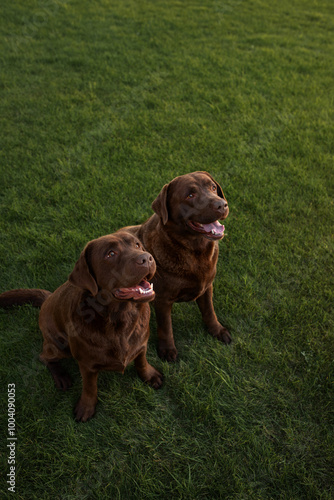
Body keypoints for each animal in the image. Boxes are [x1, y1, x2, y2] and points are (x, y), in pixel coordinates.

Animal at [0, 231, 163, 422]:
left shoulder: (141, 344)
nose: (147, 258)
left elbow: (142, 361)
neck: (119, 318)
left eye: (137, 245)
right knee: (44, 357)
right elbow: (90, 387)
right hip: (59, 347)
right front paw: (86, 407)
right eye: (111, 254)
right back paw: (61, 377)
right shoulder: (86, 364)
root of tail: (48, 298)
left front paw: (149, 376)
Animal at [126, 172, 231, 360]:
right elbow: (166, 326)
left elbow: (209, 311)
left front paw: (217, 330)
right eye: (190, 195)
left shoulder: (207, 287)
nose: (221, 204)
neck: (195, 252)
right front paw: (167, 350)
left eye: (213, 187)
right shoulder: (162, 299)